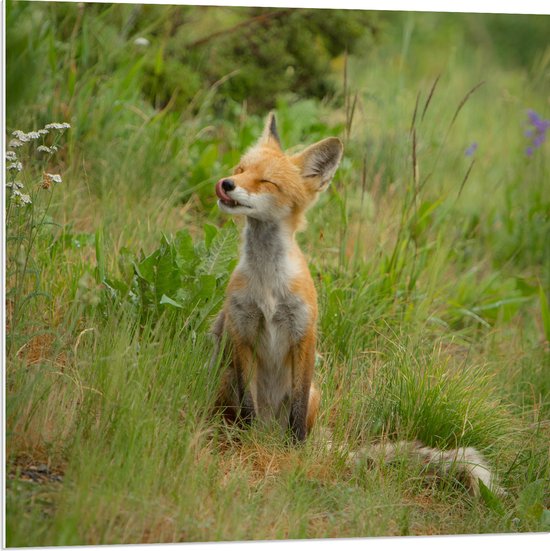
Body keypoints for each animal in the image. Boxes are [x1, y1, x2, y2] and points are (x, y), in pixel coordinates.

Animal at [211, 112, 504, 496]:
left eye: (266, 182)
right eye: (241, 168)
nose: (226, 183)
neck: (267, 286)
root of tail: (269, 430)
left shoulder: (304, 334)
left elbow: (297, 417)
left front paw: (296, 457)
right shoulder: (242, 330)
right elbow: (248, 406)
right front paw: (247, 446)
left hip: (315, 395)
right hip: (226, 380)